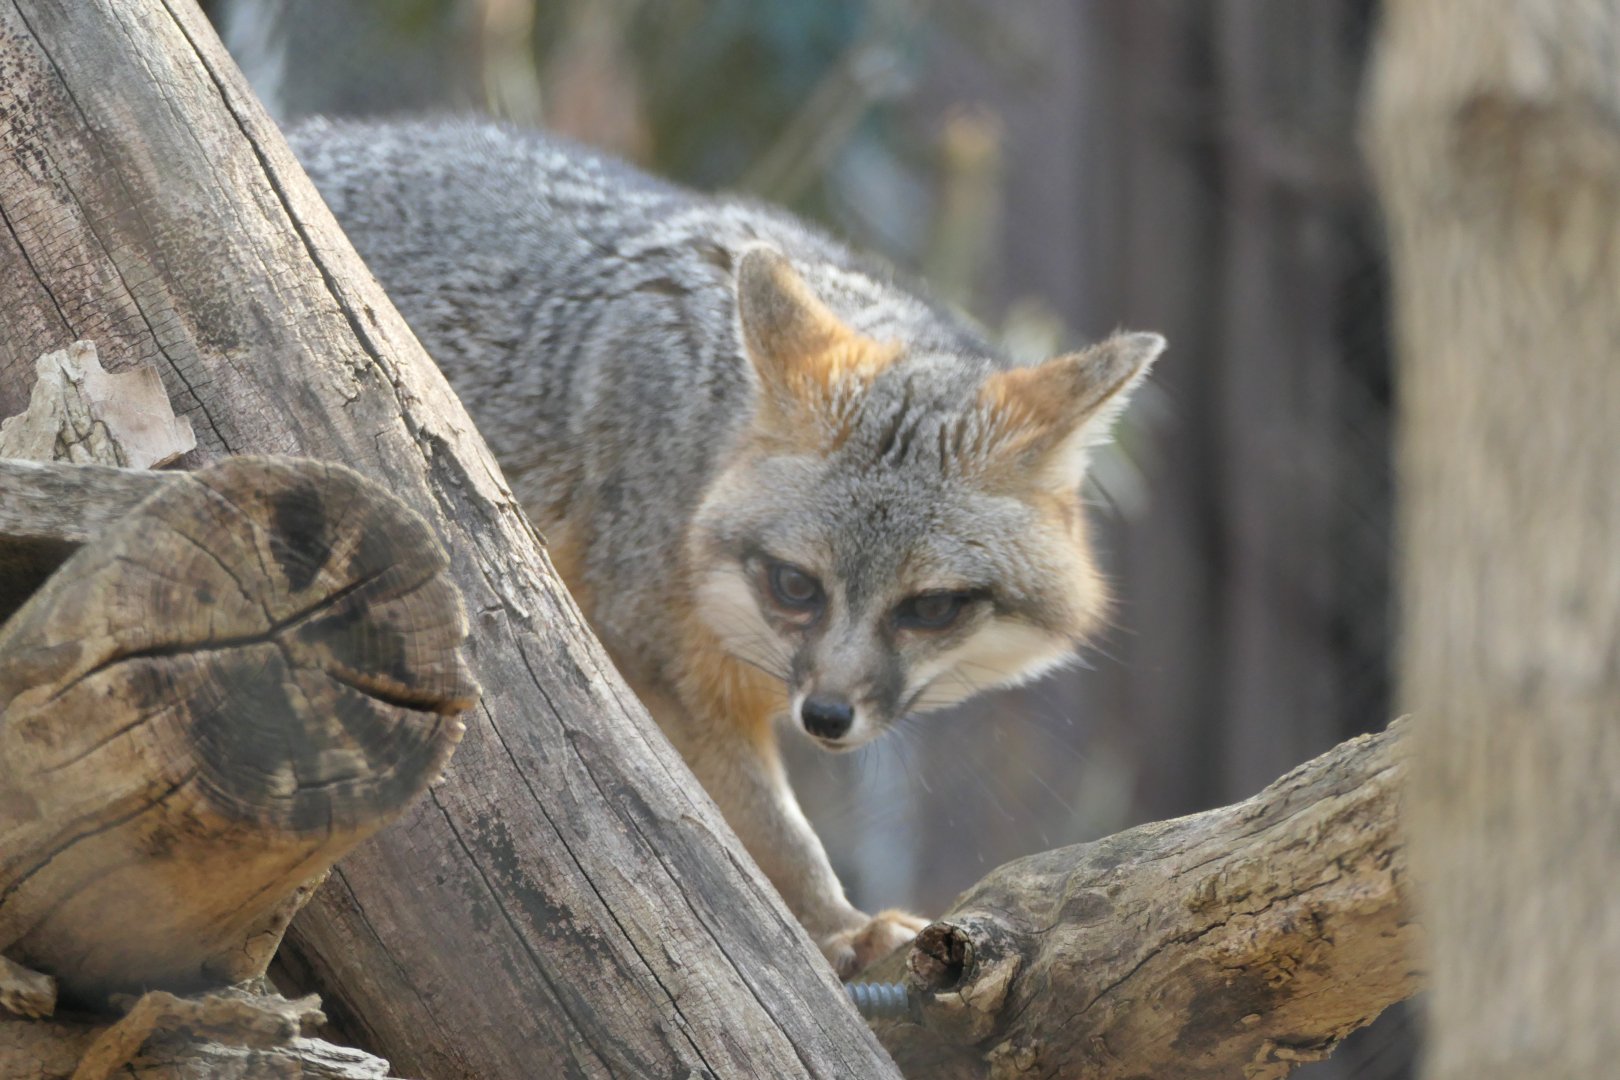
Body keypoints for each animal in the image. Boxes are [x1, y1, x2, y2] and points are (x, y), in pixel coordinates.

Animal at [290, 118, 1163, 977]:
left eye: (933, 608)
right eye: (795, 586)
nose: (825, 717)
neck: (701, 443)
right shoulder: (655, 664)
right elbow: (770, 830)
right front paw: (841, 926)